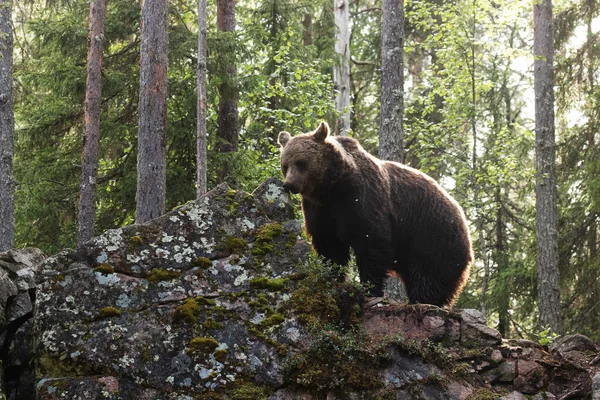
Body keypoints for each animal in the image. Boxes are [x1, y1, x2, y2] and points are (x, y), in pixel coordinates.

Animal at [278, 121, 474, 306]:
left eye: (301, 163)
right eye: (285, 165)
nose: (289, 184)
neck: (331, 188)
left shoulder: (362, 200)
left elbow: (370, 242)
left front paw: (370, 290)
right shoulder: (320, 210)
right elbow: (329, 244)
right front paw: (334, 277)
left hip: (433, 235)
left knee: (428, 275)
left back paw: (422, 300)